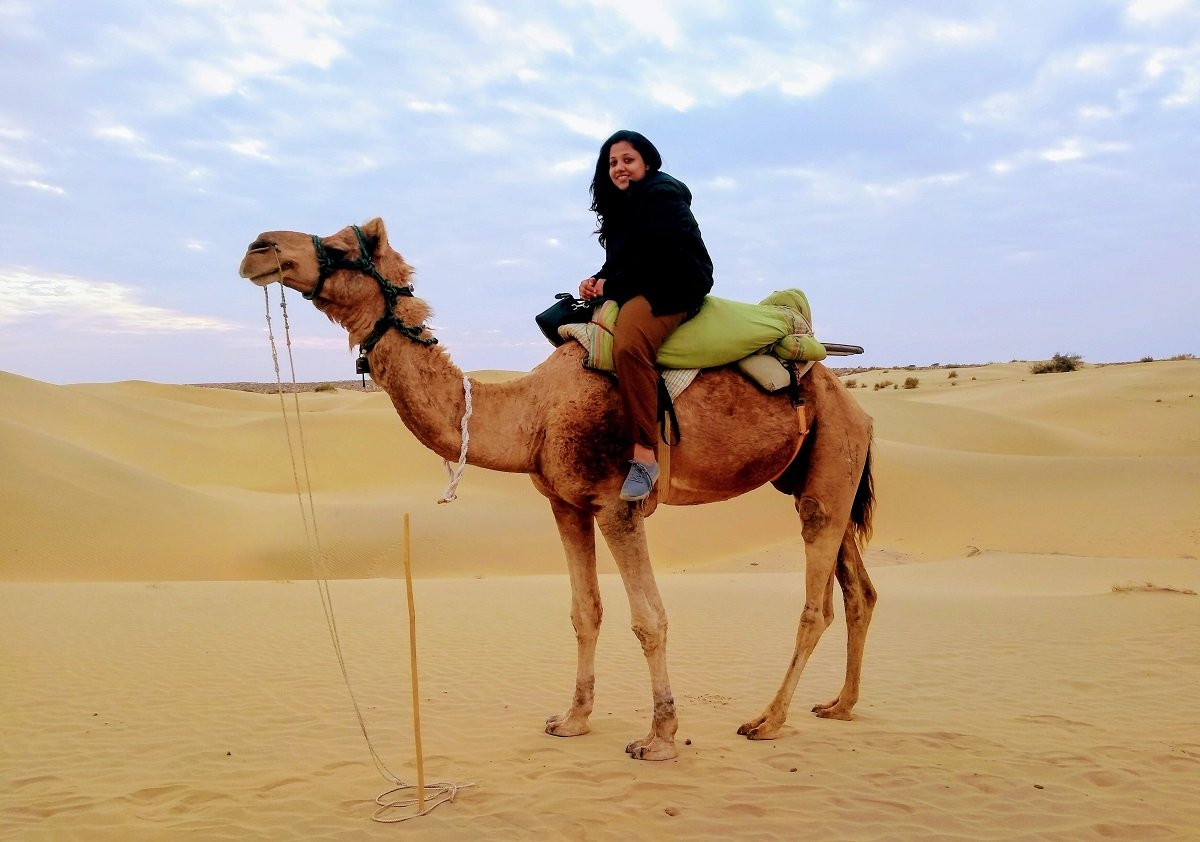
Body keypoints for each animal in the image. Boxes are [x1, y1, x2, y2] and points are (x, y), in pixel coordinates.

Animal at [236, 219, 873, 767]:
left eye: (343, 247)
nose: (258, 248)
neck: (531, 413)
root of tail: (850, 399)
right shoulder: (566, 504)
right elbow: (584, 611)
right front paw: (572, 720)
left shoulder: (619, 505)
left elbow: (649, 619)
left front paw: (660, 738)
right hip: (816, 475)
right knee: (858, 591)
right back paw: (838, 706)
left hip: (828, 475)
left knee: (816, 605)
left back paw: (767, 720)